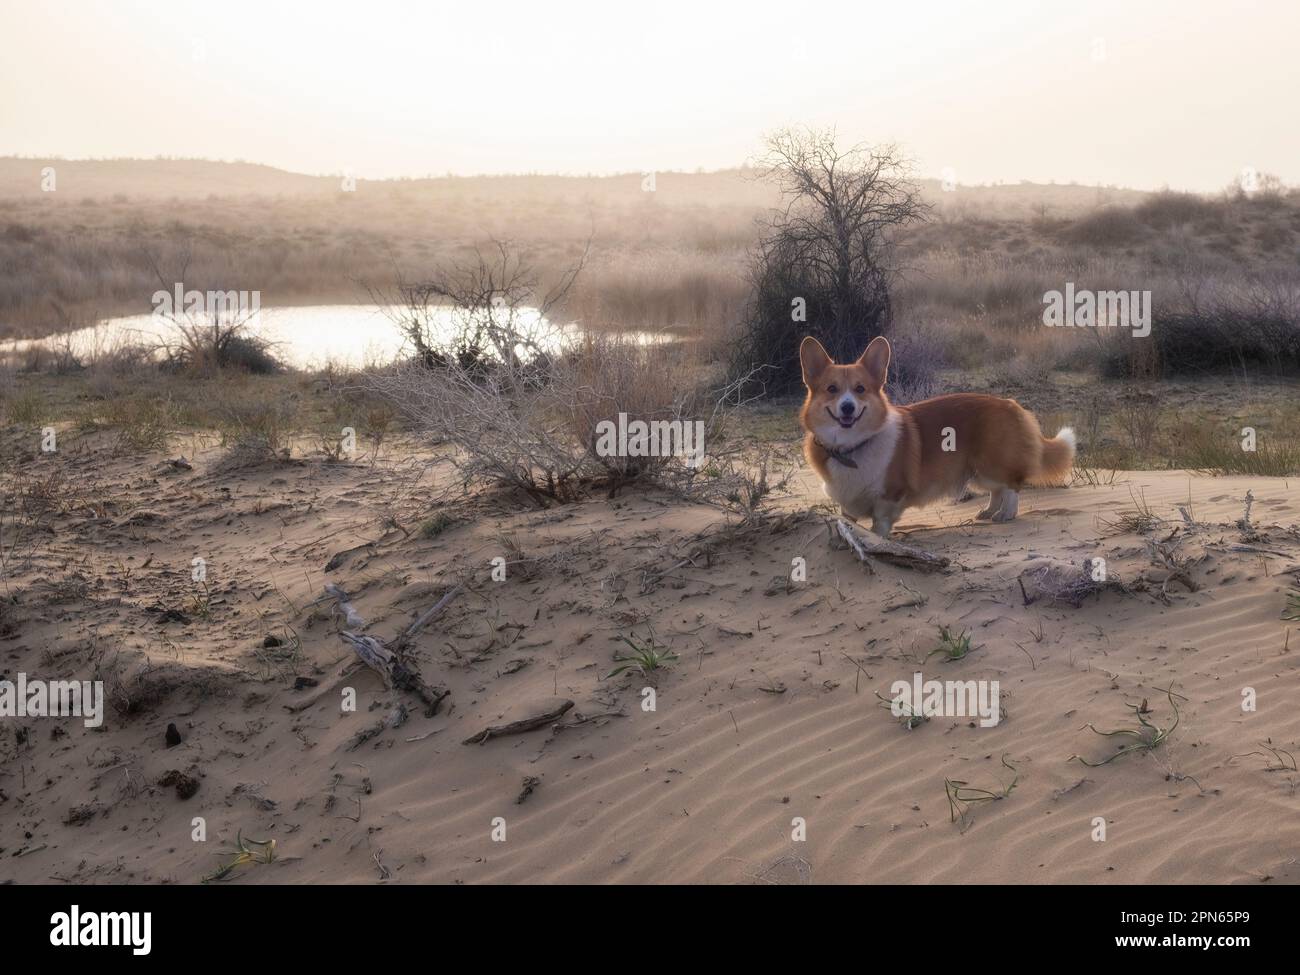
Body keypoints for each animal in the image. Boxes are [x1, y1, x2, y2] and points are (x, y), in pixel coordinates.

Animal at [800, 335, 1076, 535]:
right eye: (832, 389)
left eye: (860, 389)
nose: (847, 407)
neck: (852, 447)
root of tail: (1011, 404)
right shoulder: (847, 505)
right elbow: (851, 523)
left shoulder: (888, 498)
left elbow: (879, 526)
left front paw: (880, 541)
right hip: (976, 472)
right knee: (997, 490)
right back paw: (988, 513)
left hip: (991, 464)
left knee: (1011, 485)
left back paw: (1005, 514)